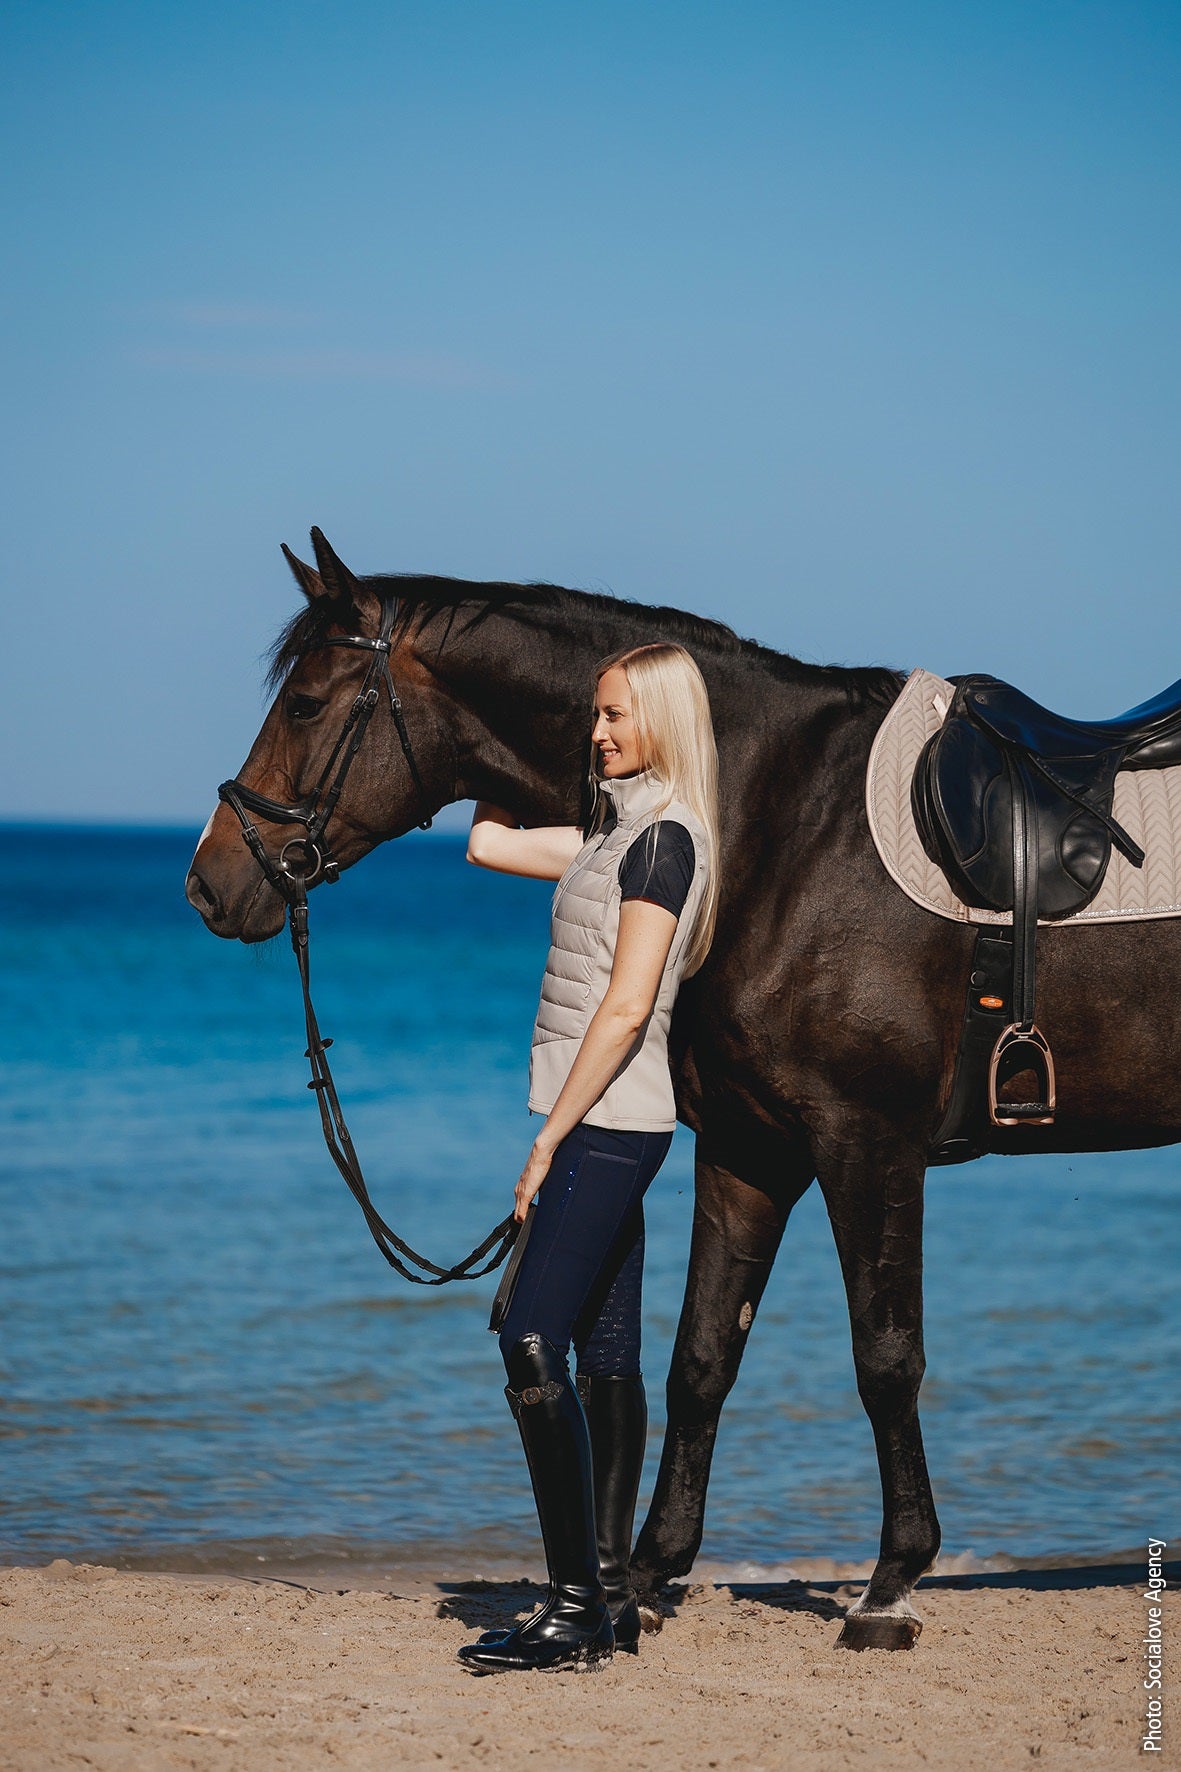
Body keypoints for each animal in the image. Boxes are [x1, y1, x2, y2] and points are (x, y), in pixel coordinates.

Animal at [186, 530, 1181, 1649]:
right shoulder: (751, 1147)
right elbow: (699, 1356)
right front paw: (649, 1570)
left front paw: (888, 1584)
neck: (782, 826)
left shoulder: (866, 1145)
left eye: (307, 703)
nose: (209, 880)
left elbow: (884, 1357)